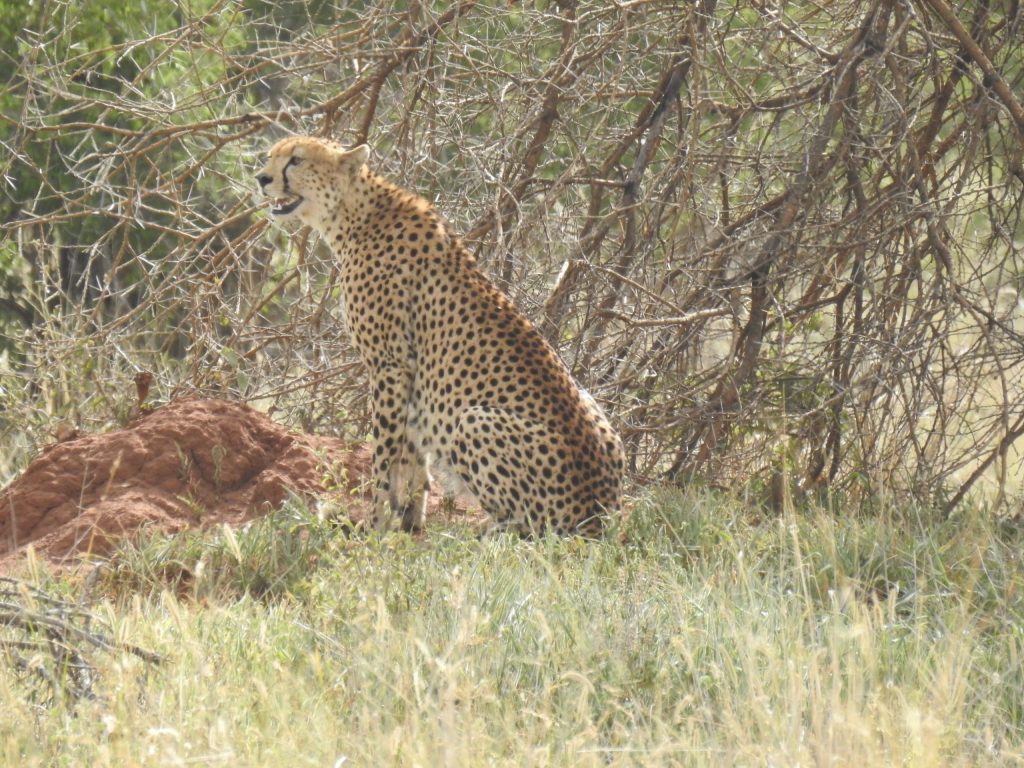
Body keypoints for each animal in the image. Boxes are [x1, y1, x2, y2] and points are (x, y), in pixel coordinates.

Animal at [256, 136, 624, 536]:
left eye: (296, 160)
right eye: (271, 155)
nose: (261, 178)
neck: (355, 213)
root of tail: (598, 515)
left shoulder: (389, 364)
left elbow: (384, 456)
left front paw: (375, 524)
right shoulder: (412, 376)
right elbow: (413, 453)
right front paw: (409, 520)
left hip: (474, 420)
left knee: (529, 528)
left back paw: (486, 533)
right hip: (590, 404)